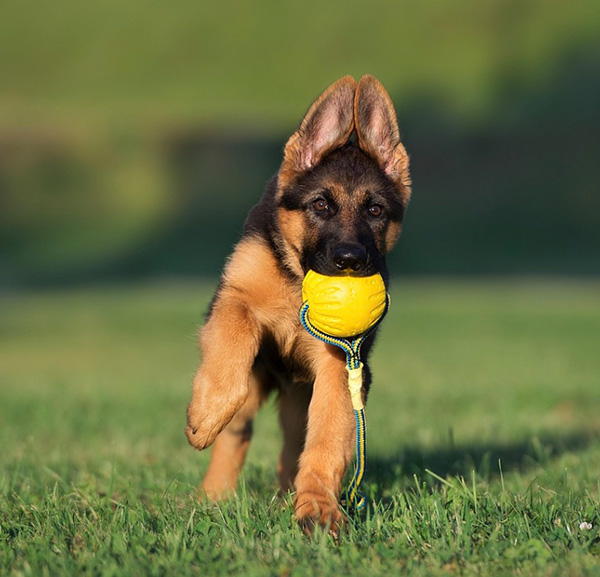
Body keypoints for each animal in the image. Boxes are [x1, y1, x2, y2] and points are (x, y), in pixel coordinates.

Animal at [186, 74, 412, 532]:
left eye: (376, 210)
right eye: (320, 205)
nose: (349, 260)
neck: (296, 281)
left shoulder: (341, 365)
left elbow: (325, 442)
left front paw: (317, 510)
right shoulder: (233, 299)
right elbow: (234, 339)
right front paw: (206, 413)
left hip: (302, 397)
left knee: (295, 443)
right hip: (258, 386)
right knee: (237, 431)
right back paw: (212, 494)